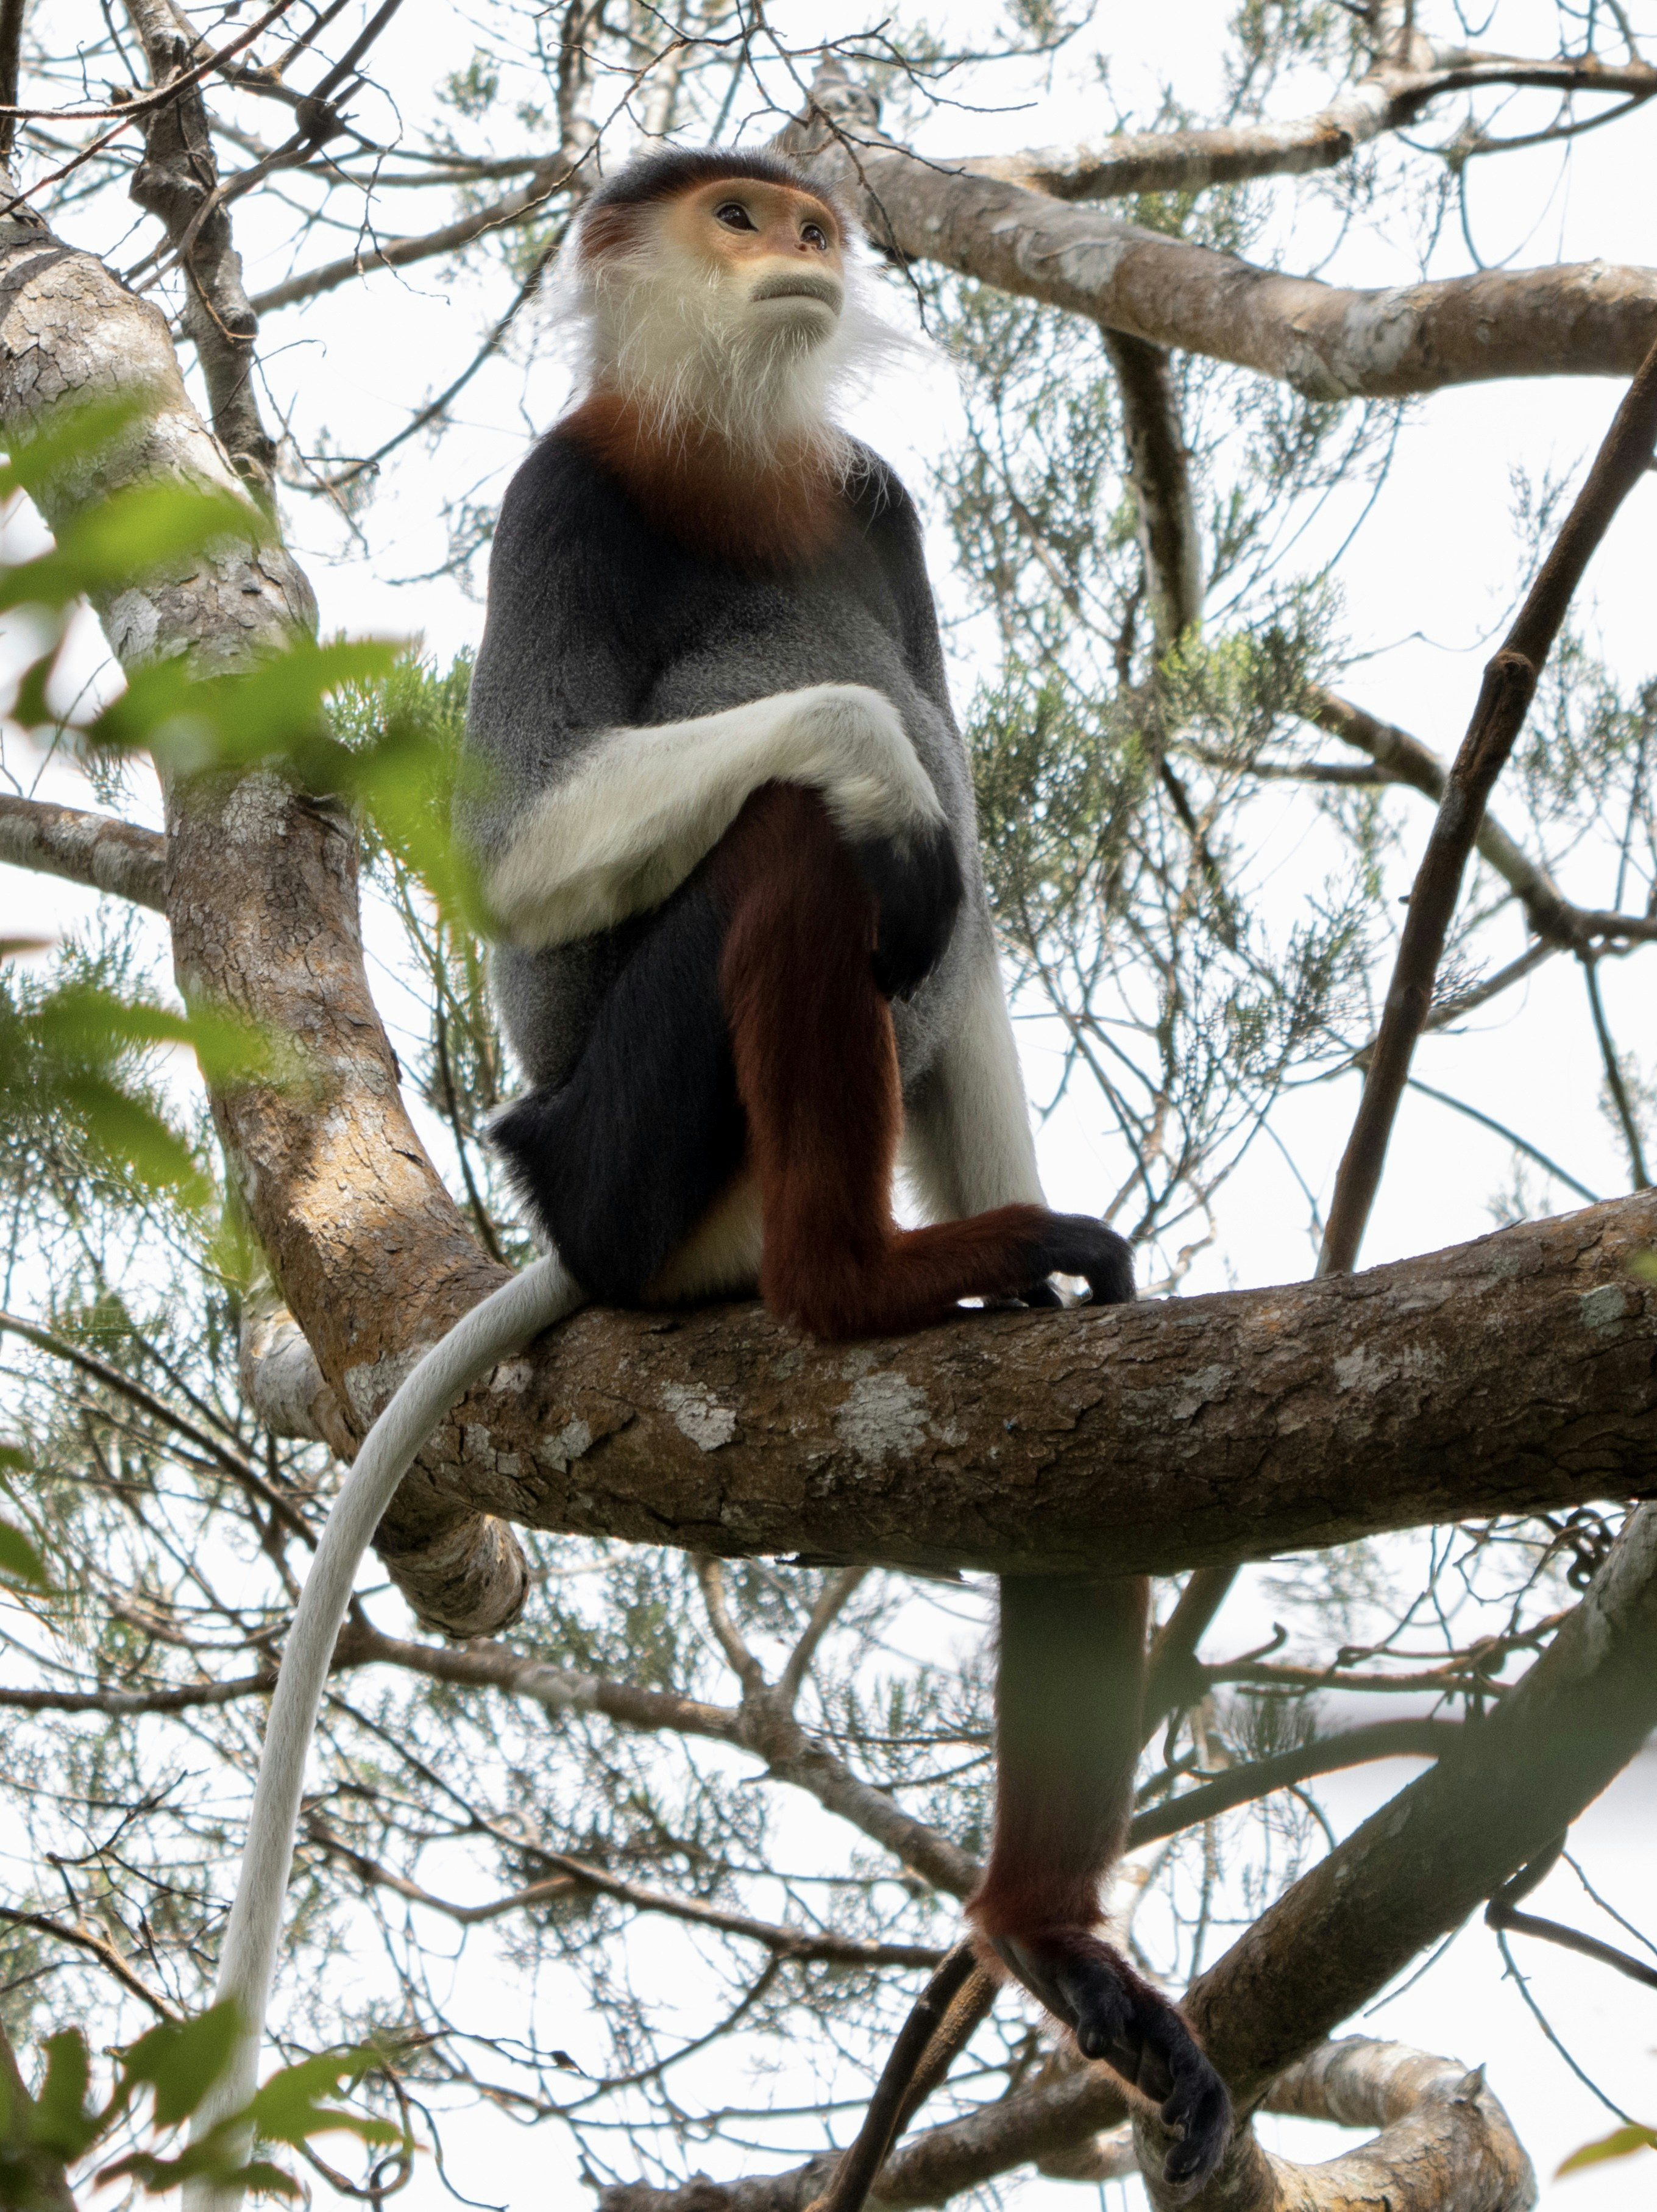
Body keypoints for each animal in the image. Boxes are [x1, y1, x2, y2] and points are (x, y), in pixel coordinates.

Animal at [193, 147, 1228, 2208]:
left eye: (808, 223)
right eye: (741, 220)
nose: (806, 256)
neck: (730, 453)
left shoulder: (879, 514)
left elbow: (970, 931)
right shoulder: (558, 493)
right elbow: (559, 843)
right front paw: (880, 784)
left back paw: (1039, 1932)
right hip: (618, 1161)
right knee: (790, 830)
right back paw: (855, 1275)